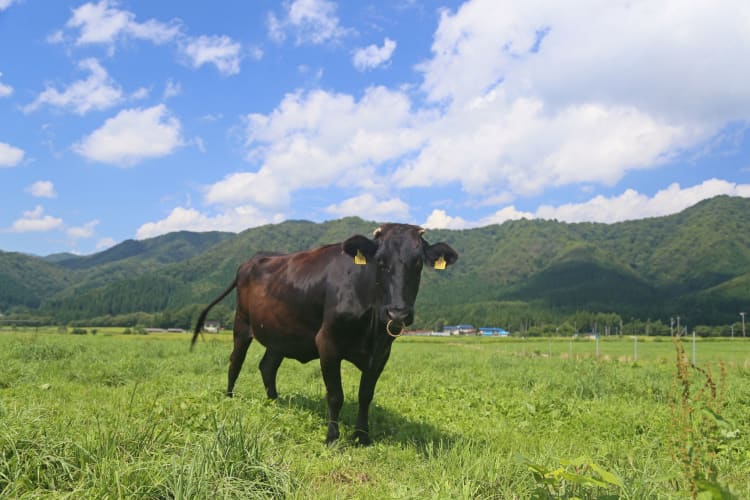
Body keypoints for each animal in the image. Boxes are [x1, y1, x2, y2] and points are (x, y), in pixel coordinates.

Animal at [192, 225, 458, 444]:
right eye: (380, 261)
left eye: (418, 263)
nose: (398, 312)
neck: (370, 326)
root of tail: (252, 260)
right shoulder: (328, 343)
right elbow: (335, 395)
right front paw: (332, 437)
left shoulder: (382, 351)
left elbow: (365, 395)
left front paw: (362, 436)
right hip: (241, 324)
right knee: (235, 361)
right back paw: (229, 397)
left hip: (280, 335)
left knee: (267, 366)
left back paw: (274, 401)